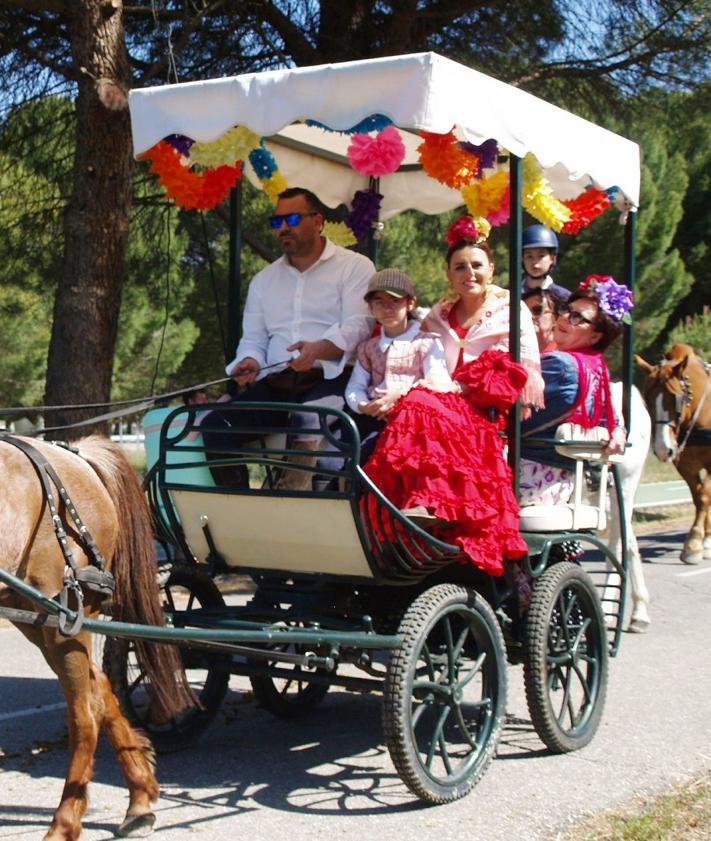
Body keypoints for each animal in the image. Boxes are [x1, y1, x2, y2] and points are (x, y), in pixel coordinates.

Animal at [0, 436, 195, 840]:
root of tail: (80, 458)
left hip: (64, 620)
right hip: (37, 617)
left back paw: (64, 824)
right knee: (101, 689)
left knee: (85, 716)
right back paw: (140, 799)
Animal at [636, 342, 711, 564]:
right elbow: (700, 497)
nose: (663, 449)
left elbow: (706, 494)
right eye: (648, 400)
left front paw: (695, 541)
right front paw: (698, 542)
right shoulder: (685, 465)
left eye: (678, 398)